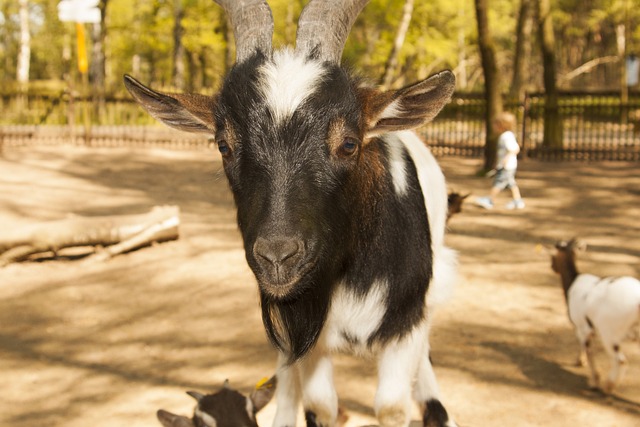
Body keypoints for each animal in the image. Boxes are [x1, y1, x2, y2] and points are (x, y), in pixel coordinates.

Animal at [125, 1, 458, 426]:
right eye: (223, 145)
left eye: (349, 143)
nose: (277, 257)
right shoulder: (304, 331)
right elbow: (320, 404)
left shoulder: (407, 322)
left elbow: (391, 406)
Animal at [552, 239, 640, 392]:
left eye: (553, 256)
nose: (552, 267)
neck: (573, 281)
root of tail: (637, 300)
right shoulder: (588, 328)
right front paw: (580, 361)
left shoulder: (582, 327)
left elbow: (588, 350)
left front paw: (594, 380)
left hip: (609, 332)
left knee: (620, 361)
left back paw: (609, 385)